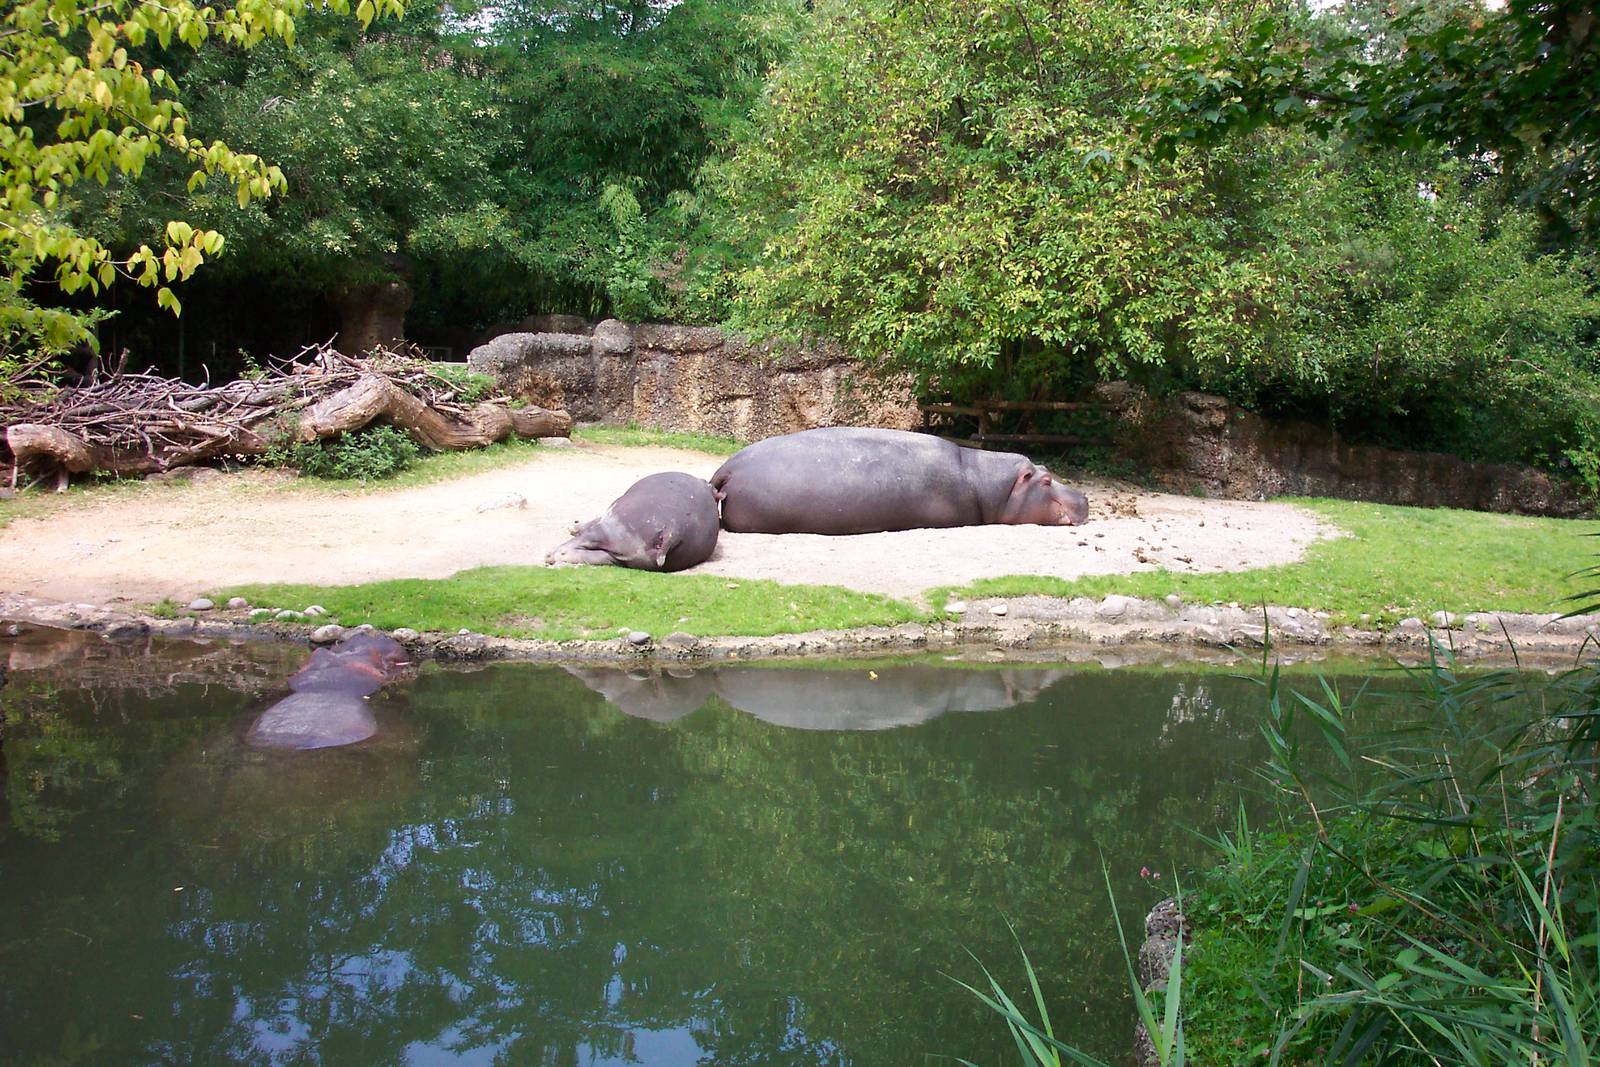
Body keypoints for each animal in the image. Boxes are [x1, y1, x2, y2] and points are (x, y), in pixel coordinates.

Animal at [545, 471, 721, 572]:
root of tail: (673, 531)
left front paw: (573, 527)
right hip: (622, 557)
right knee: (595, 556)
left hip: (613, 529)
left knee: (580, 542)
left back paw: (551, 556)